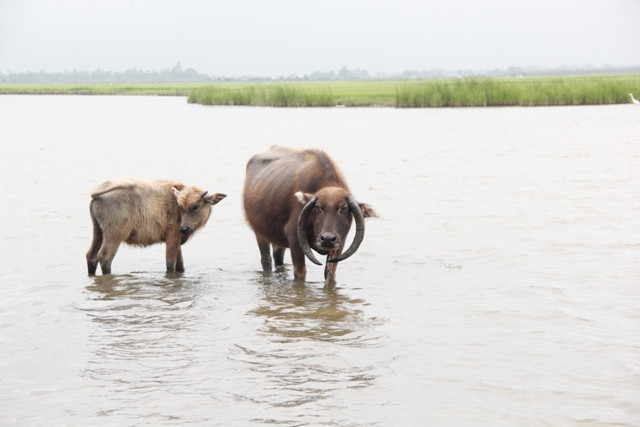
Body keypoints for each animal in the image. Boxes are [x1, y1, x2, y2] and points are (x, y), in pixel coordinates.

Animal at [86, 178, 226, 275]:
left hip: (98, 231)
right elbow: (170, 264)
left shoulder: (177, 241)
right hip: (114, 236)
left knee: (91, 256)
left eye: (195, 207)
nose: (184, 228)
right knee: (105, 257)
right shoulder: (172, 238)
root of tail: (98, 195)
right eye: (180, 207)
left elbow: (180, 266)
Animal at [243, 146, 376, 289]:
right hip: (259, 233)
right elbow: (300, 273)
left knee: (278, 256)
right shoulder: (295, 241)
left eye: (344, 208)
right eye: (318, 207)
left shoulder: (339, 244)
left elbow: (330, 274)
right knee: (266, 259)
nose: (327, 238)